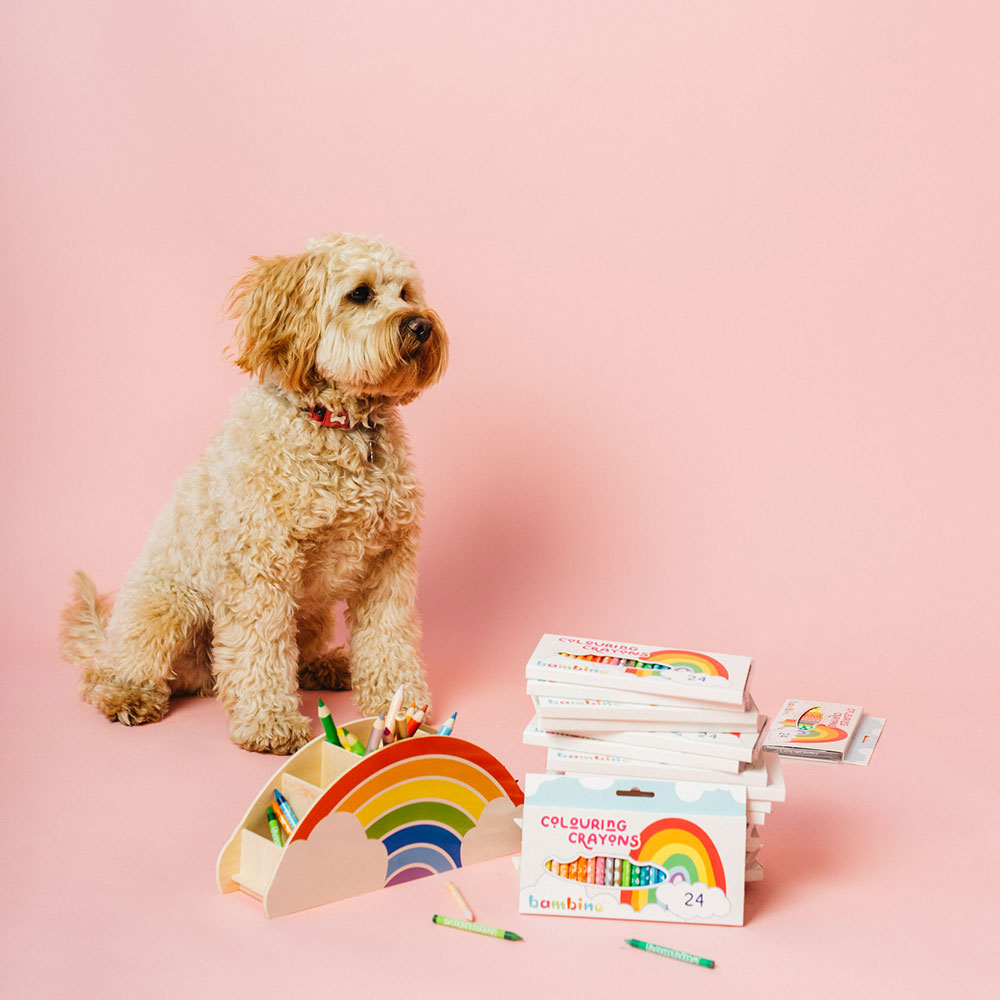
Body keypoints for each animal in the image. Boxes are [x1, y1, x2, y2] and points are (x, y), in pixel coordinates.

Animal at [62, 232, 450, 752]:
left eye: (406, 293)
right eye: (360, 294)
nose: (421, 325)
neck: (339, 426)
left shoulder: (388, 565)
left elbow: (389, 639)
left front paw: (401, 709)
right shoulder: (261, 568)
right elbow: (260, 648)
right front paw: (270, 722)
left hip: (311, 614)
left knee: (296, 654)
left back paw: (326, 665)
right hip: (167, 605)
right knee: (111, 671)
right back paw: (128, 693)